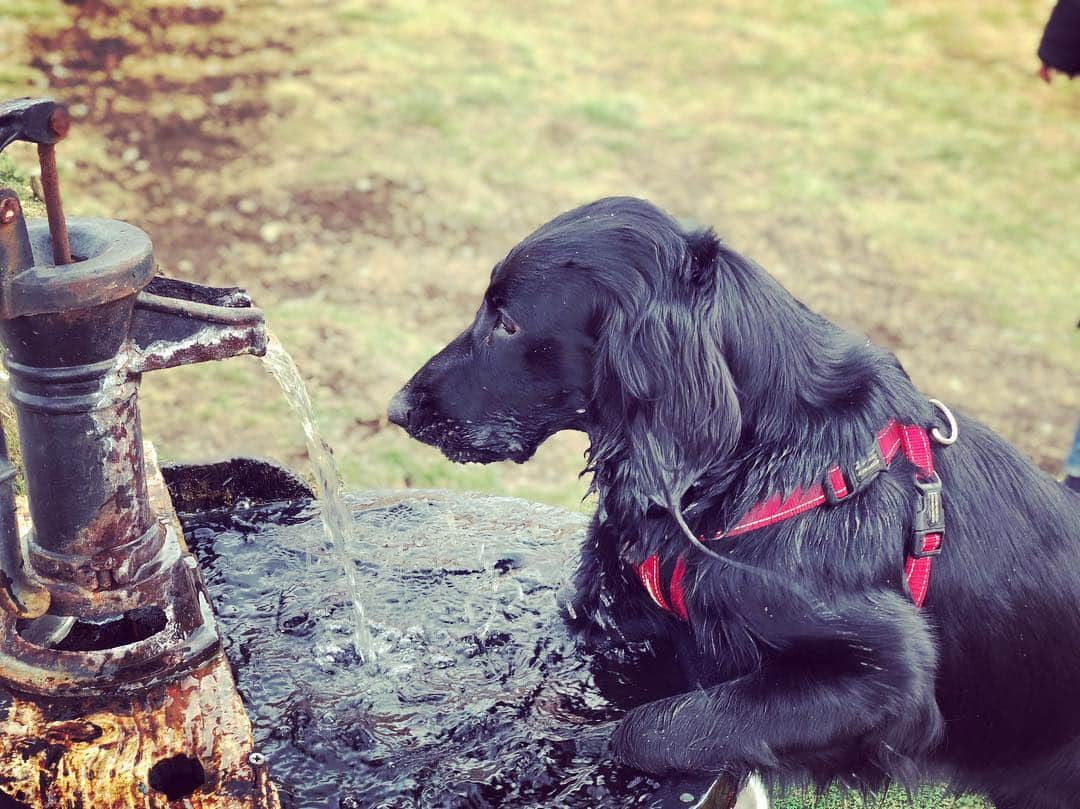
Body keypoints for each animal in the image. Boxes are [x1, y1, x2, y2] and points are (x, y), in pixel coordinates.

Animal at [388, 197, 1080, 807]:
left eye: (507, 323)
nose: (395, 409)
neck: (741, 466)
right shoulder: (609, 617)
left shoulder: (890, 674)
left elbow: (647, 728)